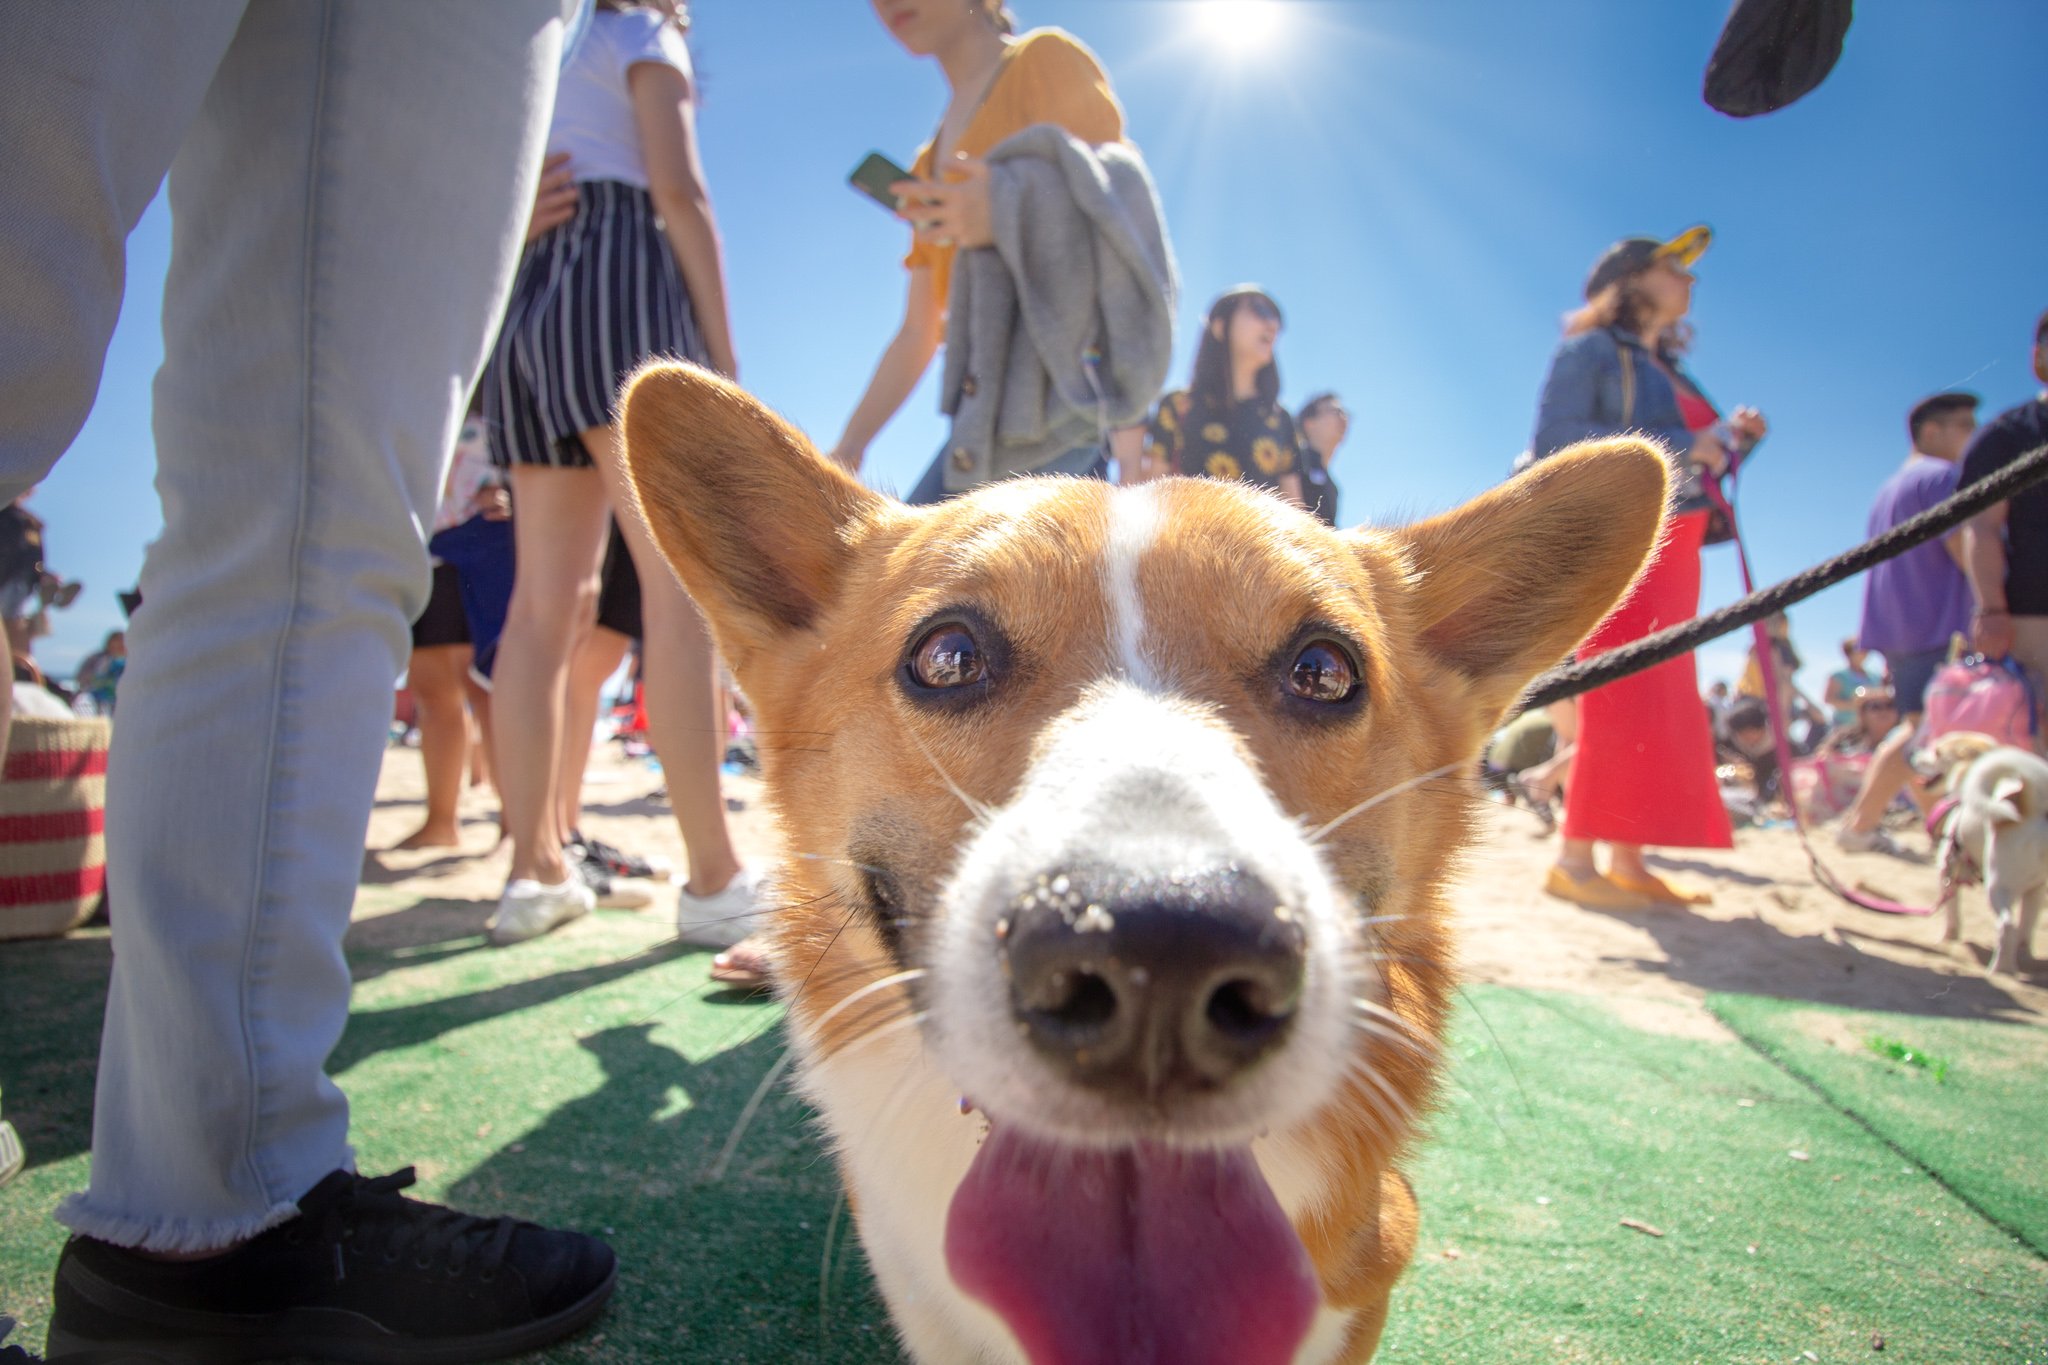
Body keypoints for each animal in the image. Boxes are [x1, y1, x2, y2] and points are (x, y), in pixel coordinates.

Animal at [1933, 740, 2048, 978]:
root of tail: (2035, 805)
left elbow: (1951, 913)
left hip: (1998, 887)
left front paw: (1947, 938)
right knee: (2024, 932)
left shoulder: (1946, 871)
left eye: (1938, 752)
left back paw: (2000, 970)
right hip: (2036, 890)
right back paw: (2022, 962)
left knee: (2007, 927)